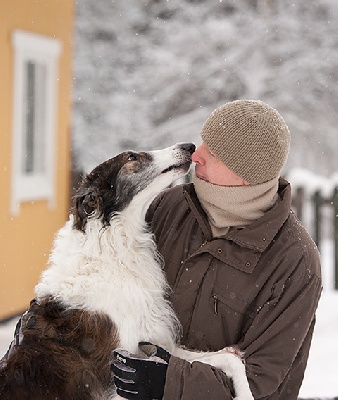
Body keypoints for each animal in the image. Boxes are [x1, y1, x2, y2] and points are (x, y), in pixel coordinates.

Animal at [0, 144, 254, 400]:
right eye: (131, 157)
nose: (188, 146)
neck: (114, 250)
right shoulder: (117, 379)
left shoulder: (154, 349)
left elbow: (228, 359)